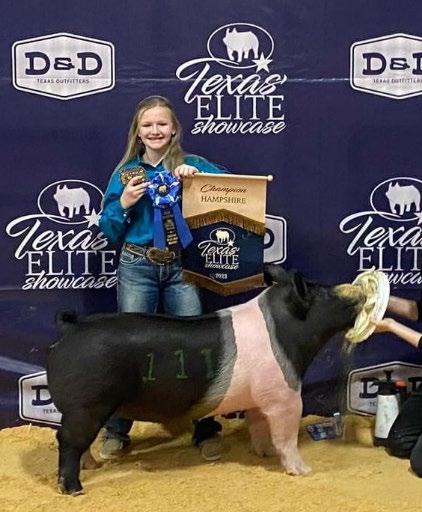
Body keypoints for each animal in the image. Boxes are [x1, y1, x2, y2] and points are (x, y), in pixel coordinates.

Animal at [47, 264, 364, 495]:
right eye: (326, 294)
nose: (359, 294)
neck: (285, 331)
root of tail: (71, 329)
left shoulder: (259, 399)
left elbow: (259, 427)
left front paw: (263, 454)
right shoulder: (285, 396)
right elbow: (286, 437)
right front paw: (303, 471)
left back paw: (92, 466)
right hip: (87, 405)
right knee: (67, 440)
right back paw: (74, 489)